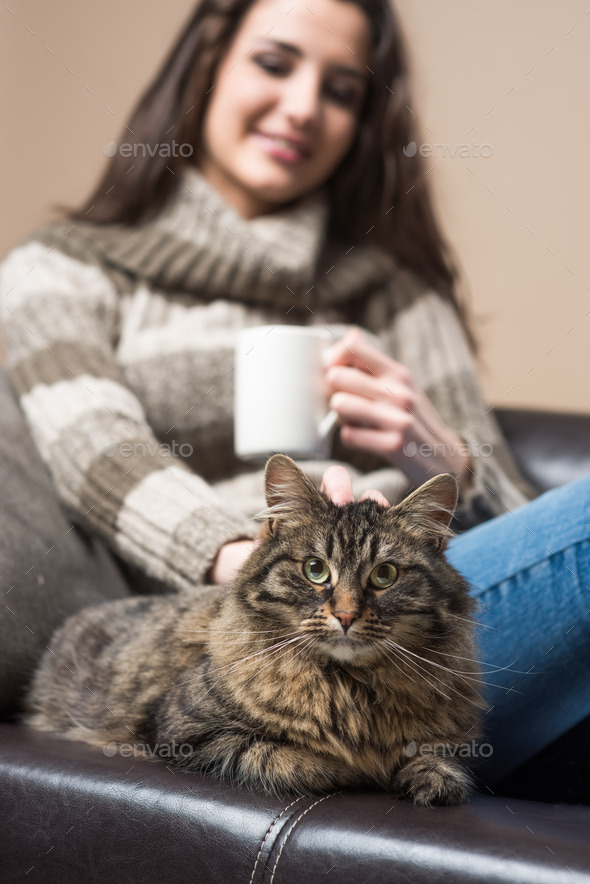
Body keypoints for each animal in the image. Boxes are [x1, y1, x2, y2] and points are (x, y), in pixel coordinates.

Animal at [25, 456, 486, 808]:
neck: (348, 688)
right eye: (315, 570)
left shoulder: (447, 735)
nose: (346, 615)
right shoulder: (186, 732)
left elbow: (434, 755)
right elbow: (287, 758)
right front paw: (353, 769)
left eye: (384, 575)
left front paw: (431, 778)